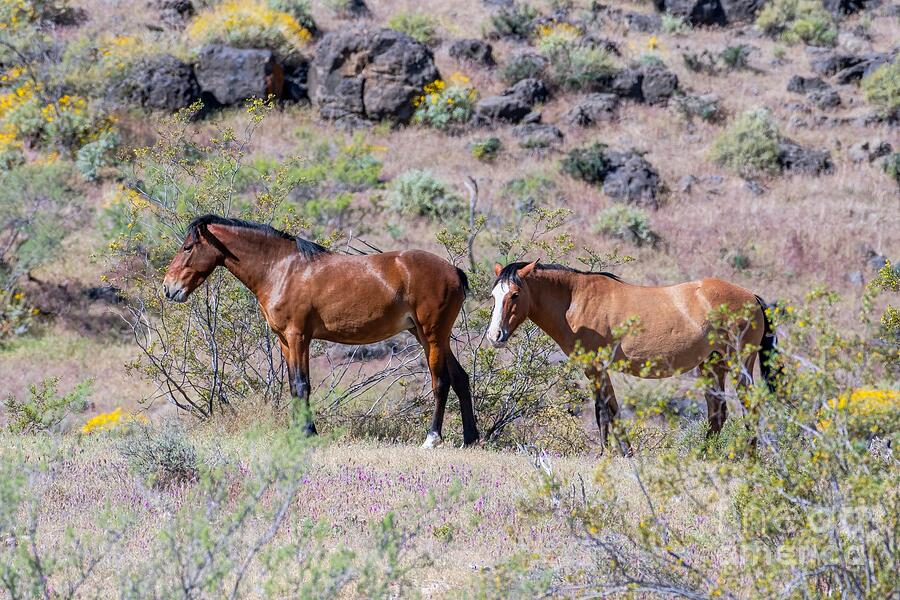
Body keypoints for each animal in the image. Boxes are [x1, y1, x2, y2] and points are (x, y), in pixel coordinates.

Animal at [165, 214, 482, 446]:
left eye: (187, 247)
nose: (169, 288)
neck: (282, 268)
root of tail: (454, 271)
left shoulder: (298, 337)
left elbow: (302, 384)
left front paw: (308, 433)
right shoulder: (284, 341)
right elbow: (294, 386)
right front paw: (297, 432)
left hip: (432, 335)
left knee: (441, 382)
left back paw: (432, 438)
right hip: (429, 336)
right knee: (460, 378)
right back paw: (470, 438)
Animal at [488, 260, 776, 452]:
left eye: (515, 294)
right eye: (493, 296)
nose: (494, 335)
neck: (575, 300)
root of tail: (752, 298)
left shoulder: (596, 367)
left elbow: (606, 411)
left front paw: (612, 454)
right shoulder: (597, 369)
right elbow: (608, 410)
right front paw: (619, 453)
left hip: (739, 364)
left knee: (749, 408)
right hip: (712, 365)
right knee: (717, 412)